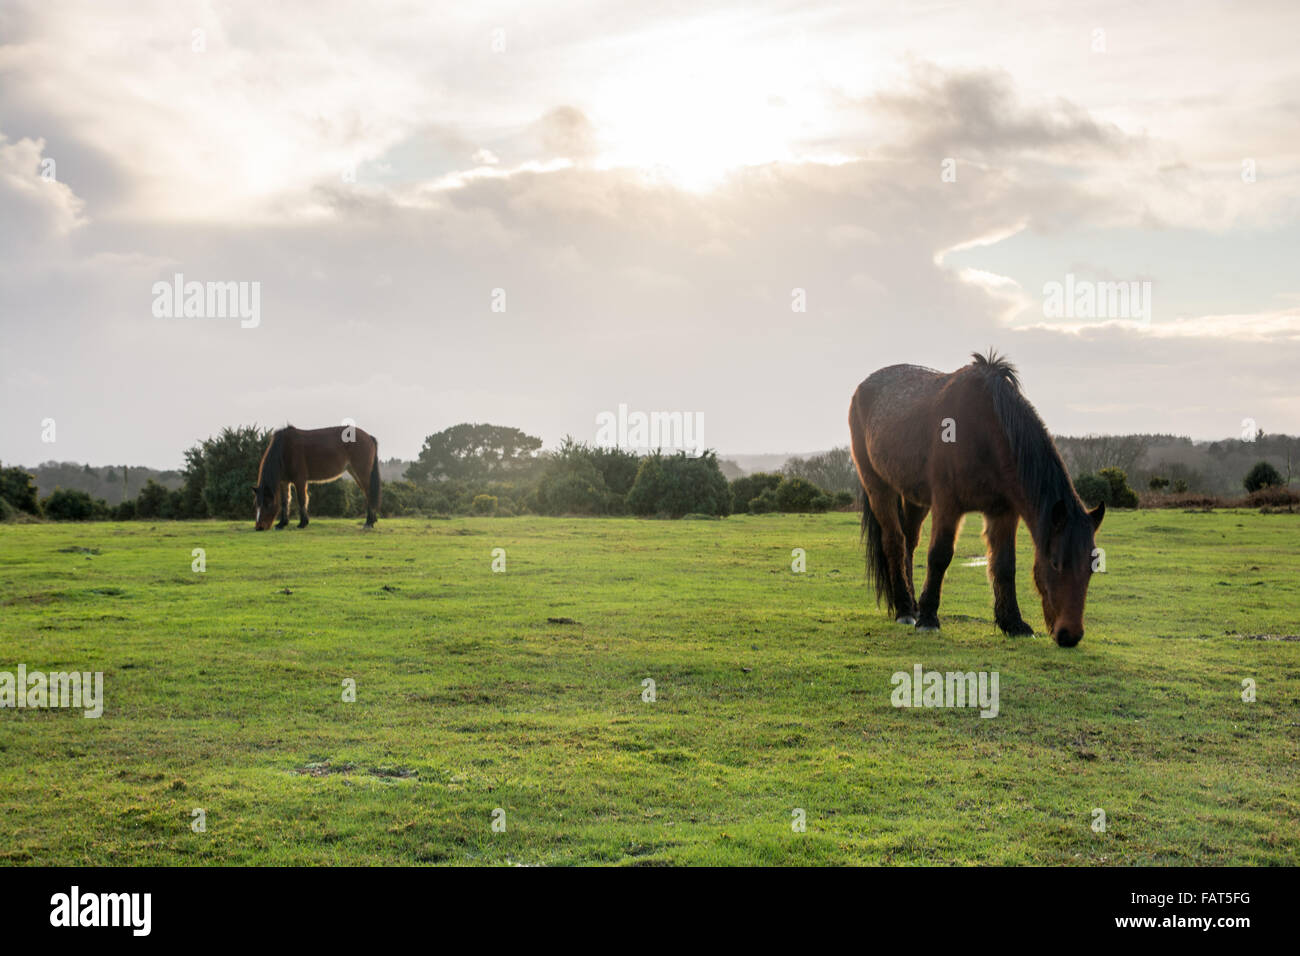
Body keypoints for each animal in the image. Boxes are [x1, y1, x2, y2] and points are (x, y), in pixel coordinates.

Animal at [250, 426, 379, 530]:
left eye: (267, 504)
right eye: (256, 504)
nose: (259, 527)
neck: (285, 449)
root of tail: (369, 436)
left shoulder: (300, 480)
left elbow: (302, 500)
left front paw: (302, 523)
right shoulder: (284, 482)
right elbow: (284, 502)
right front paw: (282, 524)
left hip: (362, 473)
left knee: (369, 494)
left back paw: (369, 523)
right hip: (355, 473)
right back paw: (371, 521)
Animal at [847, 351, 1102, 650]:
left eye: (1092, 567)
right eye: (1054, 562)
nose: (1070, 635)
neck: (984, 432)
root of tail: (863, 388)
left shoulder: (1003, 512)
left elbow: (1004, 565)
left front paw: (1013, 623)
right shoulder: (947, 505)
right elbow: (940, 556)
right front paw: (929, 619)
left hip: (916, 499)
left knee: (908, 543)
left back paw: (911, 604)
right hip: (878, 487)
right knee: (894, 543)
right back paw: (905, 610)